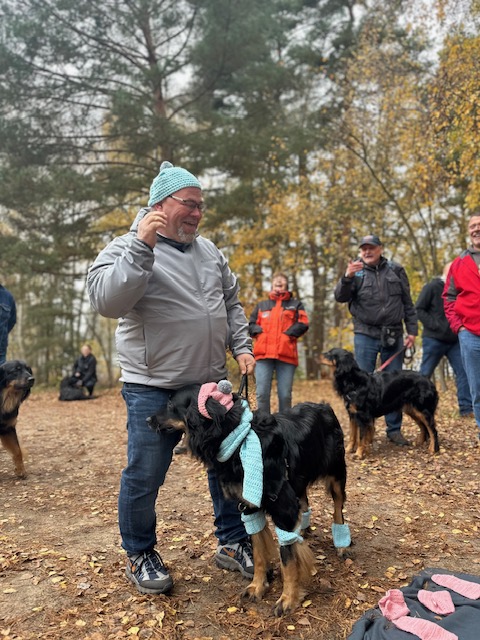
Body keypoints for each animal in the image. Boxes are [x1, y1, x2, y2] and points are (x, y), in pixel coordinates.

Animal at [148, 382, 354, 616]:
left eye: (170, 405)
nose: (148, 420)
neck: (238, 439)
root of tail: (324, 406)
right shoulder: (249, 506)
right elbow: (258, 552)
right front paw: (258, 586)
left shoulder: (283, 508)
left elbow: (287, 558)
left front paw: (288, 599)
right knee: (304, 502)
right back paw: (303, 531)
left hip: (336, 475)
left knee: (338, 510)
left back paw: (342, 544)